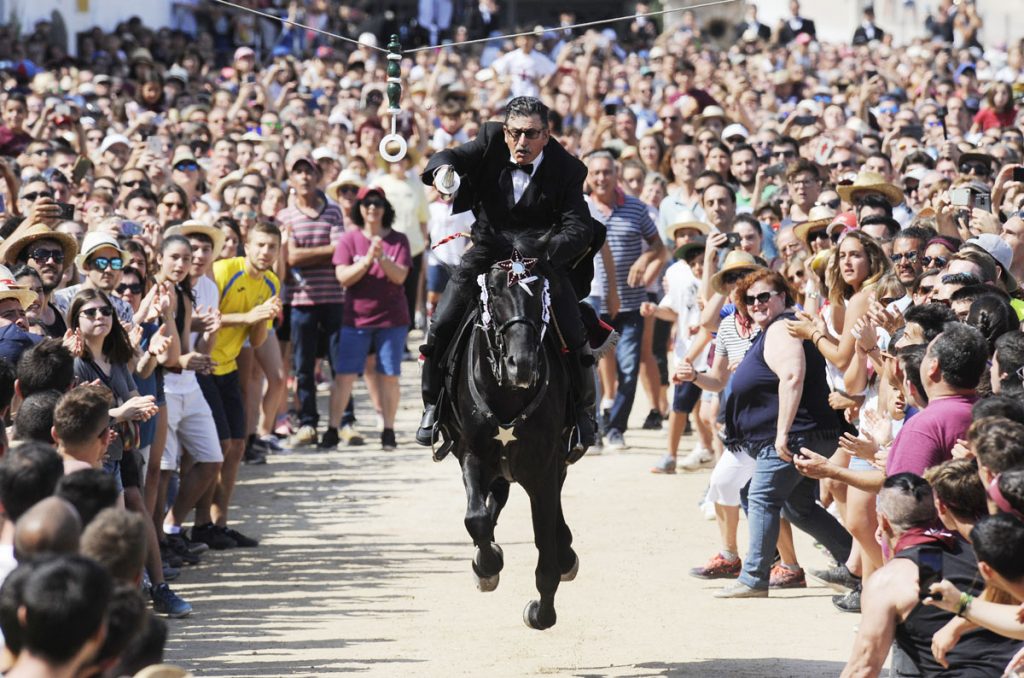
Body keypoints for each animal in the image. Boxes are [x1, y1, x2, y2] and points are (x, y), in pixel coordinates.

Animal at [438, 233, 585, 630]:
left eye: (542, 291)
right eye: (493, 289)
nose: (523, 365)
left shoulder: (544, 468)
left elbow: (546, 548)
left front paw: (541, 612)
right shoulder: (471, 453)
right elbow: (475, 518)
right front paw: (486, 567)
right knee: (492, 503)